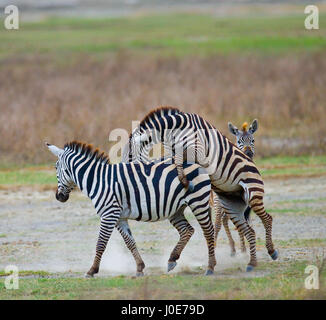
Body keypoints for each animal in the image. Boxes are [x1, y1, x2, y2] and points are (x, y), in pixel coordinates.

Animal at [44, 140, 215, 278]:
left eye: (56, 167)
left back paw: (210, 267)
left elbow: (100, 243)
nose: (59, 197)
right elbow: (130, 242)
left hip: (198, 201)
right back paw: (172, 259)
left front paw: (91, 271)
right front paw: (139, 268)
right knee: (187, 230)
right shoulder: (119, 217)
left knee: (208, 231)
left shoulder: (109, 214)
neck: (98, 180)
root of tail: (195, 162)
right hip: (176, 209)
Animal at [211, 120, 260, 258]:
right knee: (219, 222)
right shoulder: (218, 203)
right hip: (217, 204)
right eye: (239, 141)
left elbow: (241, 225)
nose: (248, 154)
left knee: (225, 221)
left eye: (253, 140)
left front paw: (244, 249)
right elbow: (218, 224)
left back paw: (234, 249)